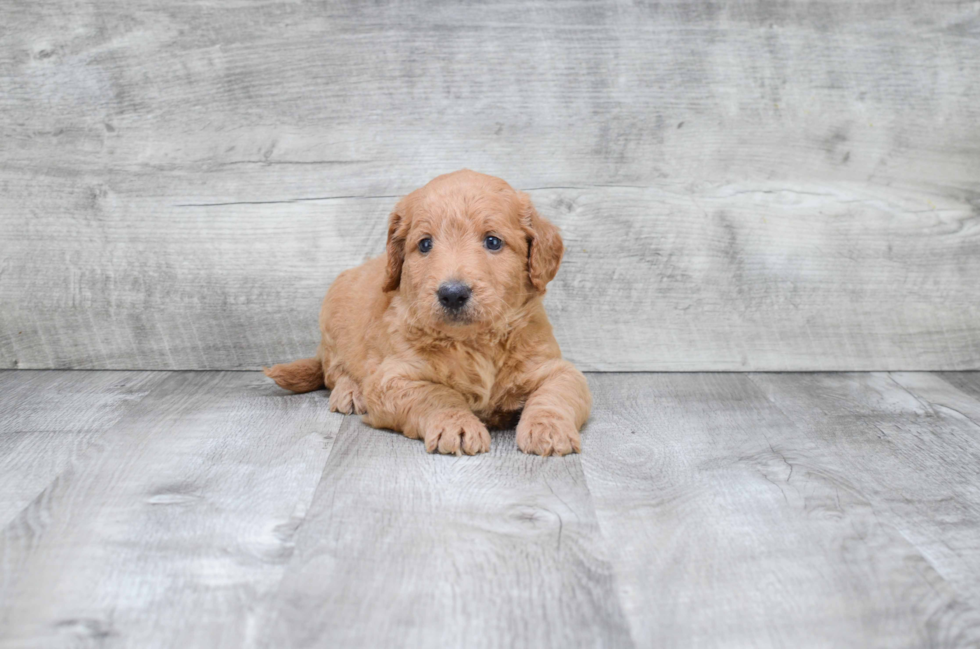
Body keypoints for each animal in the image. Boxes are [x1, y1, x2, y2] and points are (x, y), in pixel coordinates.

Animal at [260, 170, 592, 454]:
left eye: (493, 241)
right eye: (425, 244)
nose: (452, 293)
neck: (474, 343)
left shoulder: (555, 367)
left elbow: (555, 393)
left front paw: (548, 429)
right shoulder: (391, 379)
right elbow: (436, 395)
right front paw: (456, 424)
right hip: (332, 318)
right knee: (333, 370)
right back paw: (350, 392)